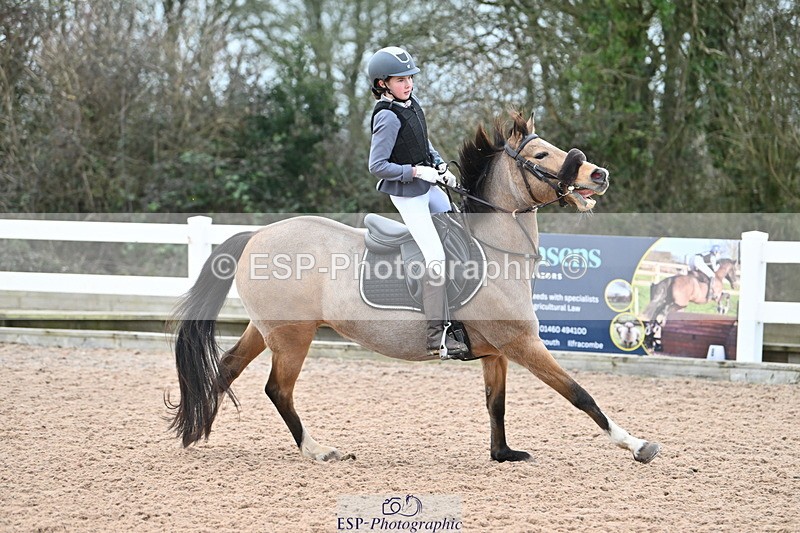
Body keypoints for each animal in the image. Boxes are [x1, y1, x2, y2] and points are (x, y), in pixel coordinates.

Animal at [168, 111, 662, 464]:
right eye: (540, 156)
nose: (598, 175)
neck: (497, 252)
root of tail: (257, 235)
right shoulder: (522, 343)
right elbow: (581, 395)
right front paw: (638, 445)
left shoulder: (498, 351)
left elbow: (496, 404)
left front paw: (502, 454)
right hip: (293, 337)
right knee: (278, 390)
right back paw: (318, 450)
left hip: (267, 329)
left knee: (226, 368)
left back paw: (195, 430)